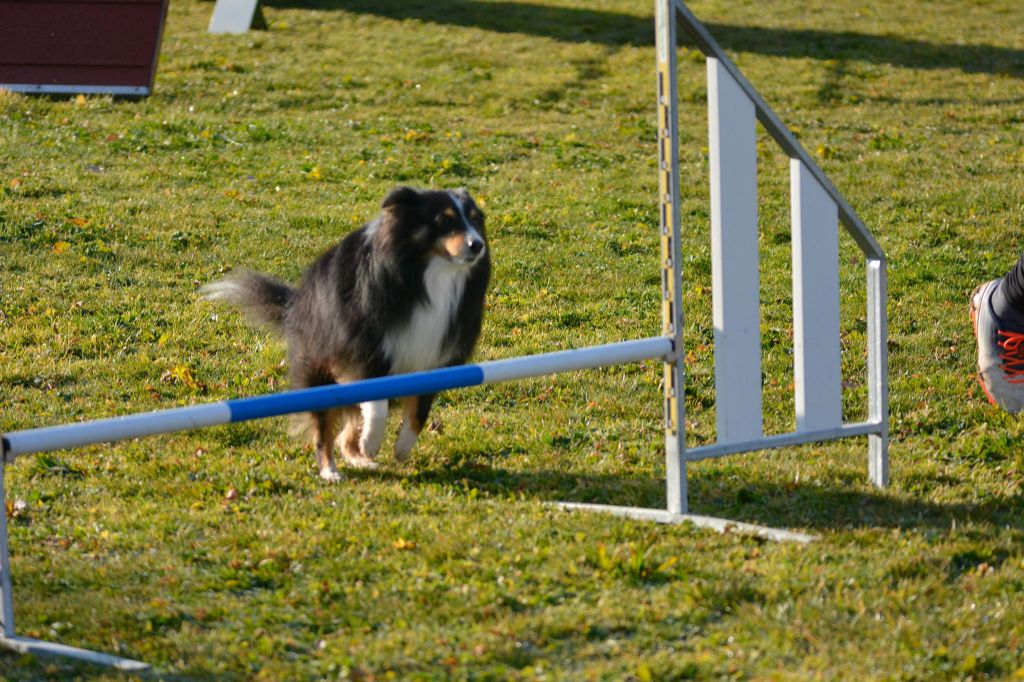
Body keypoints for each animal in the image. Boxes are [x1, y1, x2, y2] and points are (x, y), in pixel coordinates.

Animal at [203, 186, 491, 477]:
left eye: (475, 220)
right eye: (444, 221)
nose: (477, 245)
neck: (428, 275)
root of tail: (295, 303)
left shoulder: (434, 359)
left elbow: (419, 412)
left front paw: (401, 447)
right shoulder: (364, 351)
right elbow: (376, 404)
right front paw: (372, 442)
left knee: (346, 433)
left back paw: (361, 458)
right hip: (320, 372)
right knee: (325, 430)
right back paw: (331, 470)